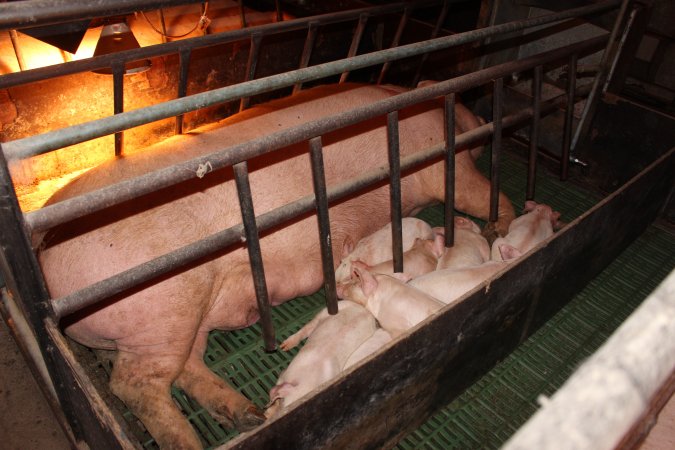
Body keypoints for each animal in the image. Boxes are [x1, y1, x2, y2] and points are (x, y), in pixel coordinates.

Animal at [37, 82, 516, 448]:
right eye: (470, 111)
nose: (480, 118)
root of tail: (46, 260)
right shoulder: (439, 159)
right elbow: (485, 192)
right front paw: (500, 228)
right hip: (166, 304)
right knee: (134, 384)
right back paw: (197, 440)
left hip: (183, 317)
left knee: (184, 367)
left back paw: (246, 415)